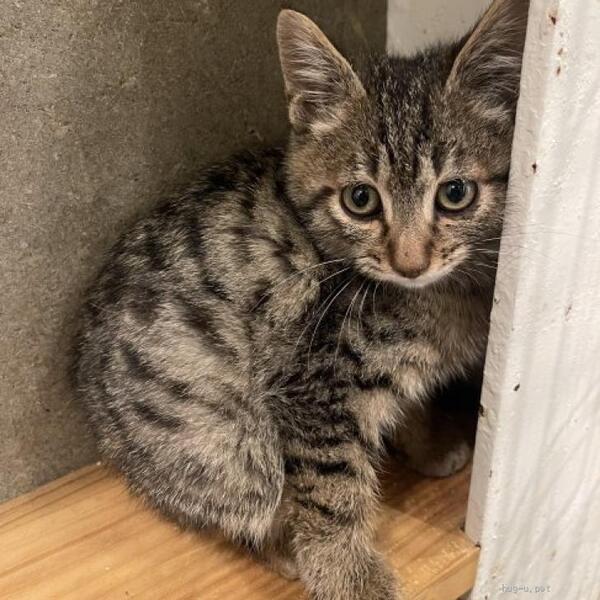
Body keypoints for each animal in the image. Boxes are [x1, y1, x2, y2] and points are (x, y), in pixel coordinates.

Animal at [74, 1, 529, 598]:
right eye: (360, 200)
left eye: (456, 194)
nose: (410, 262)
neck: (436, 296)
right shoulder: (313, 386)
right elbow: (332, 487)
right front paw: (351, 575)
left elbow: (410, 403)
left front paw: (430, 447)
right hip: (228, 435)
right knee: (246, 495)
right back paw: (283, 546)